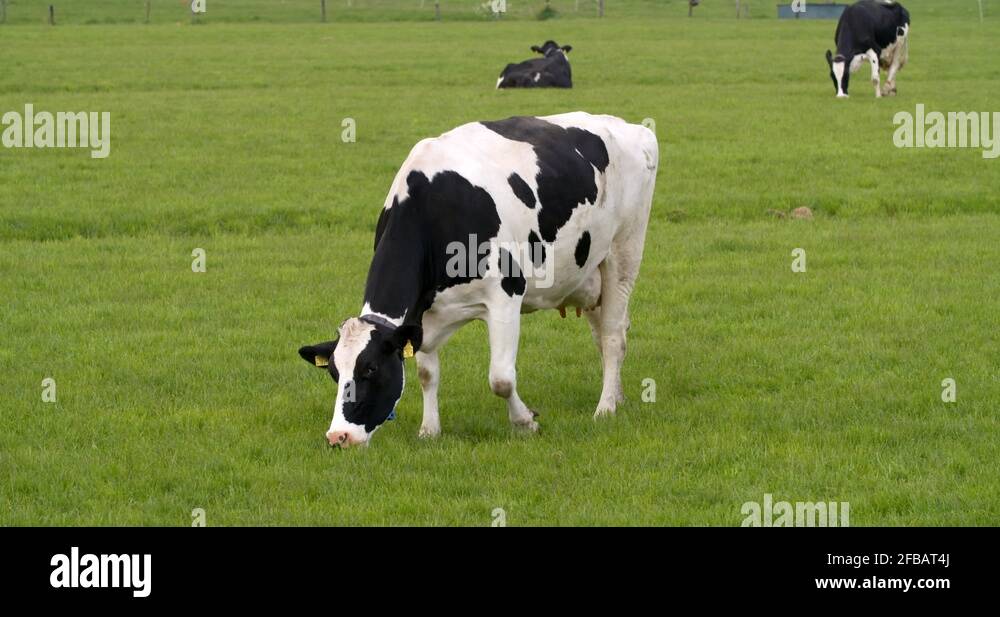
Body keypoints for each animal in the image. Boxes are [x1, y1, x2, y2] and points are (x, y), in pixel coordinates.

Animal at [299, 112, 658, 447]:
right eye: (334, 373)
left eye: (370, 369)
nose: (338, 436)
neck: (433, 209)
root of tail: (631, 127)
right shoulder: (421, 314)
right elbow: (427, 373)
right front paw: (429, 430)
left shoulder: (505, 295)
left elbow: (501, 378)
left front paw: (526, 422)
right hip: (589, 274)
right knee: (607, 333)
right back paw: (618, 396)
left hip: (623, 252)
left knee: (612, 336)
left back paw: (605, 408)